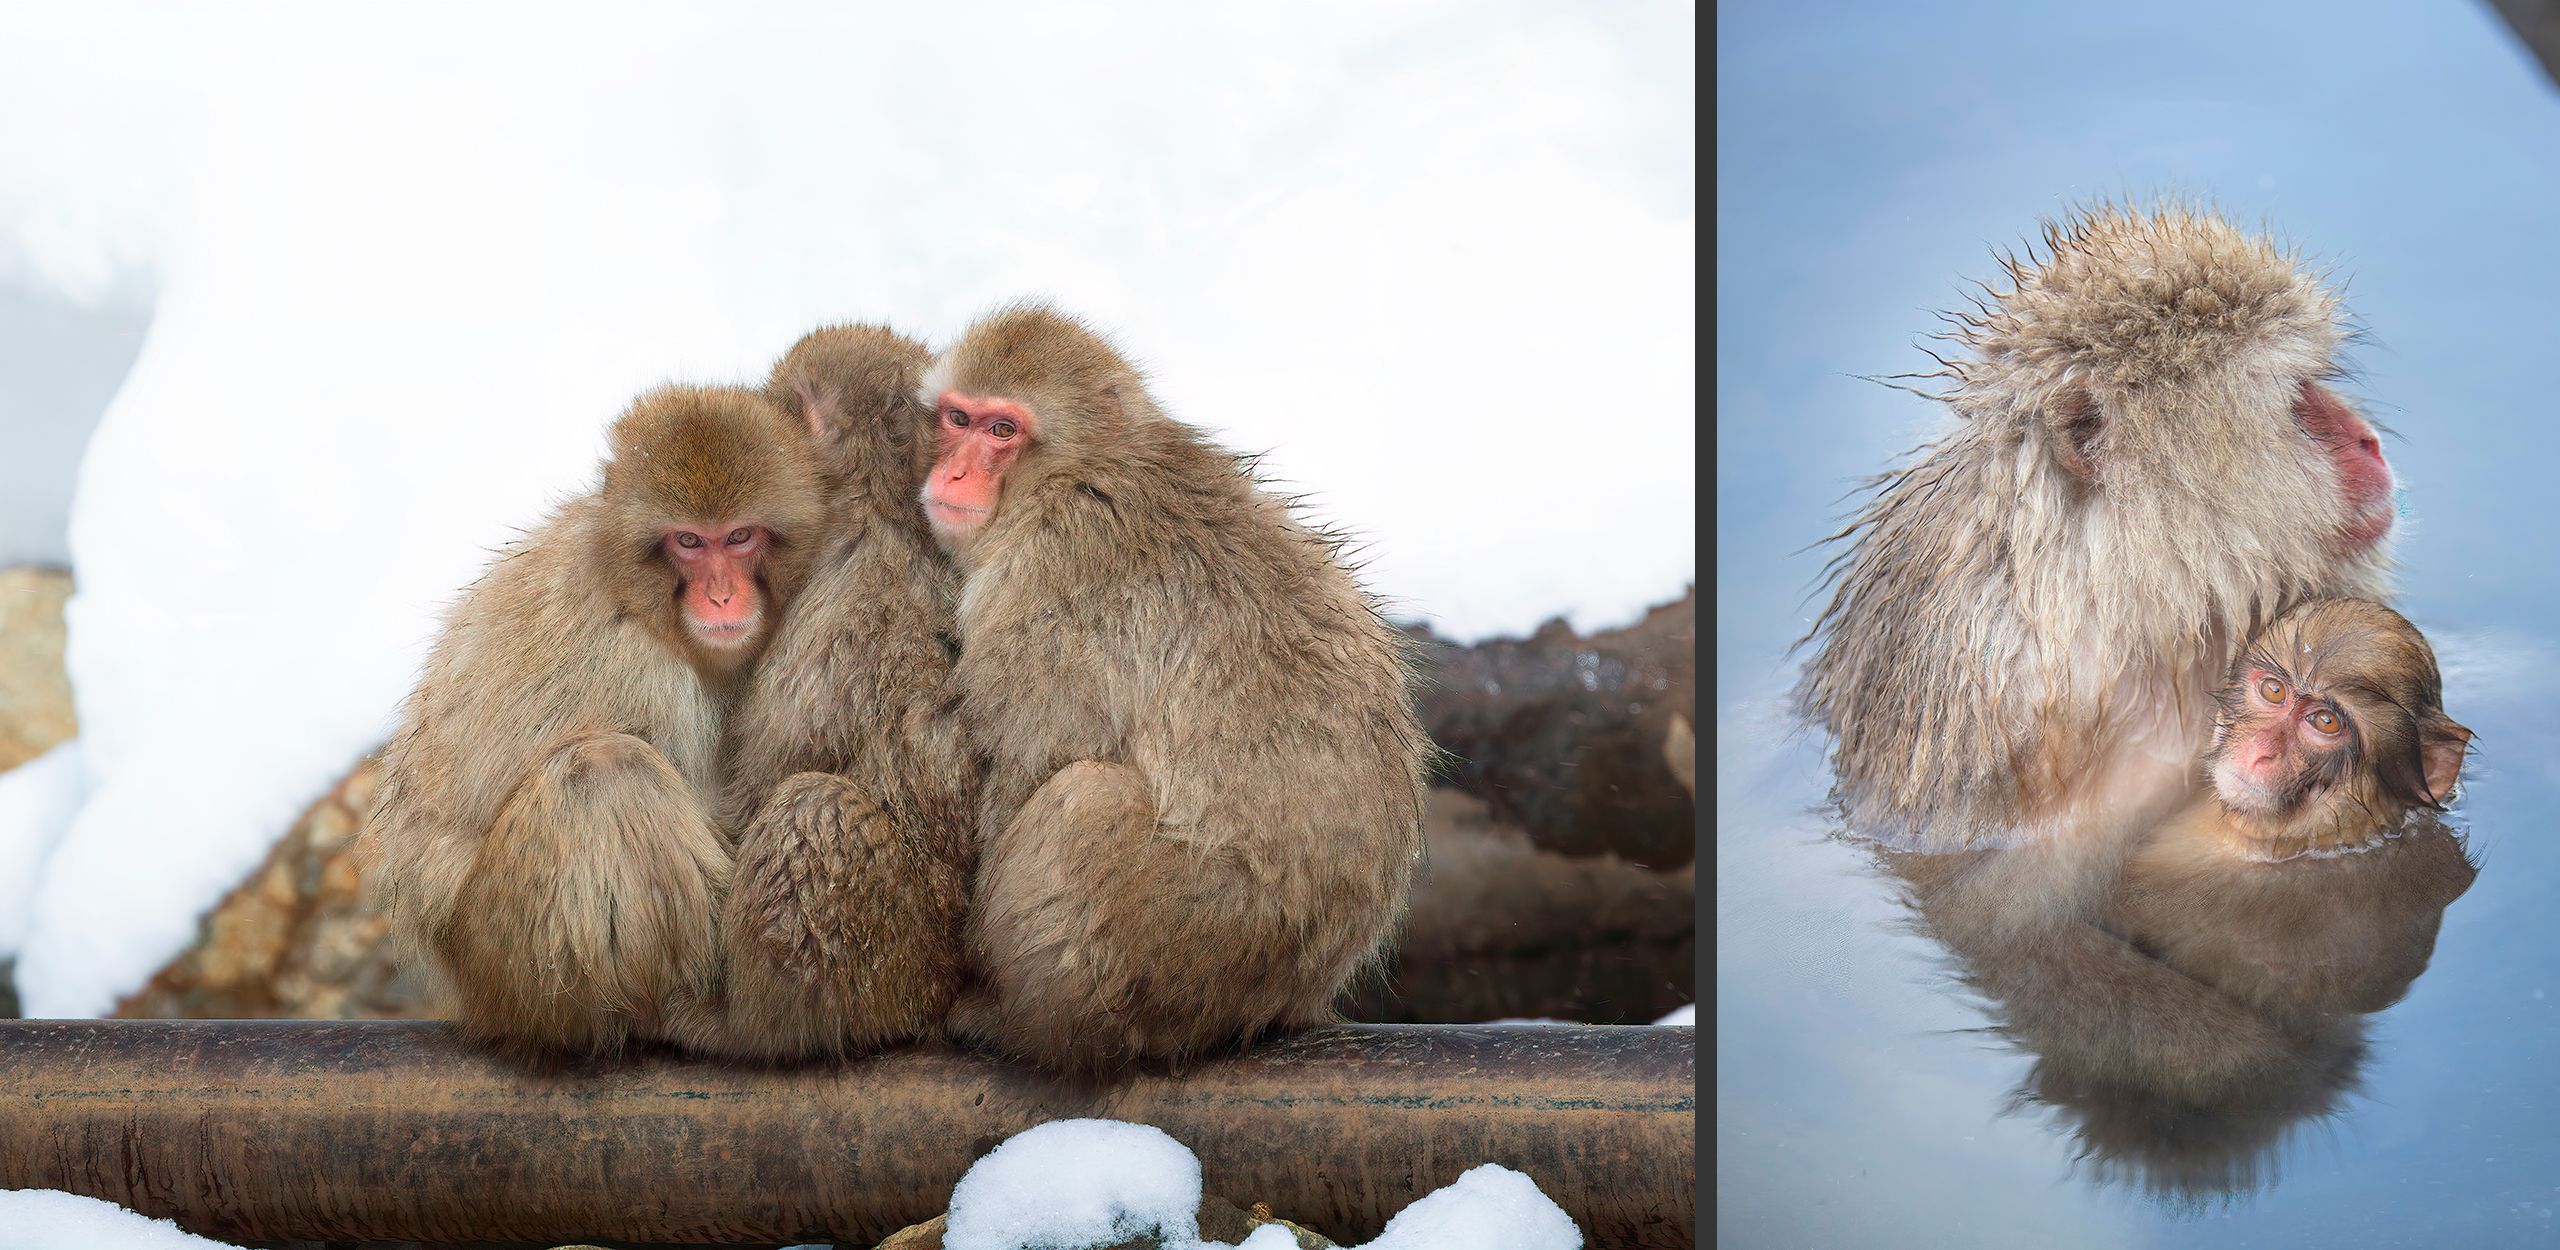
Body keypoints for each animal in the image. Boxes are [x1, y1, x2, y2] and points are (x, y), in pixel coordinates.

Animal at [362, 385, 825, 1057]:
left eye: (739, 536)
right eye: (689, 543)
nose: (720, 596)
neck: (648, 607)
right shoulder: (642, 672)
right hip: (508, 956)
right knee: (605, 774)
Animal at [669, 324, 980, 1060]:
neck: (883, 504)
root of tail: (931, 996)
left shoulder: (833, 604)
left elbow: (763, 789)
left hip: (882, 968)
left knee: (814, 808)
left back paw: (744, 1029)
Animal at [917, 302, 1431, 1076]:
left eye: (1002, 430)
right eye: (957, 418)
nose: (952, 471)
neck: (1079, 474)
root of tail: (1295, 990)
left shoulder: (1046, 581)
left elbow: (1029, 765)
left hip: (1185, 942)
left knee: (1084, 800)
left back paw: (1025, 1025)